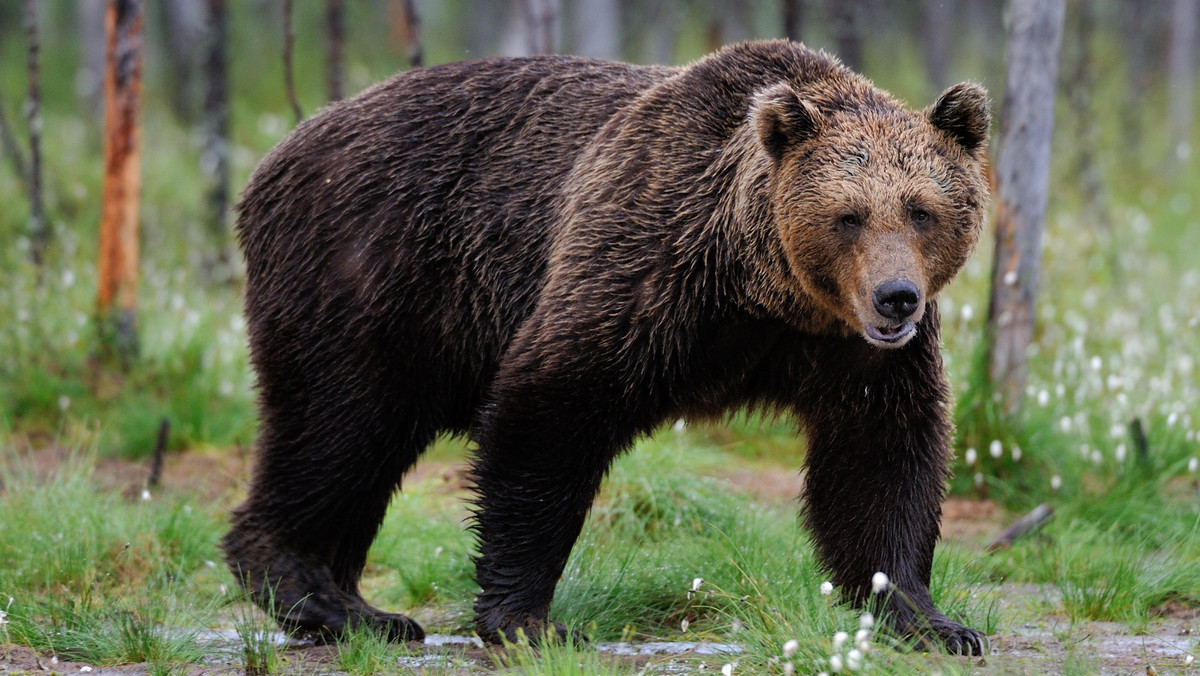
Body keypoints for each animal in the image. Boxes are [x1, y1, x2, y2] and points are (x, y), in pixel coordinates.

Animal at [225, 38, 993, 657]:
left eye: (922, 209)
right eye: (848, 216)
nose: (896, 297)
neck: (764, 292)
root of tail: (278, 151)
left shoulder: (851, 352)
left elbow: (881, 458)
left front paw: (930, 620)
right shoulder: (647, 267)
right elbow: (550, 410)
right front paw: (528, 619)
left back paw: (359, 607)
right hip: (368, 274)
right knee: (339, 427)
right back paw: (316, 594)